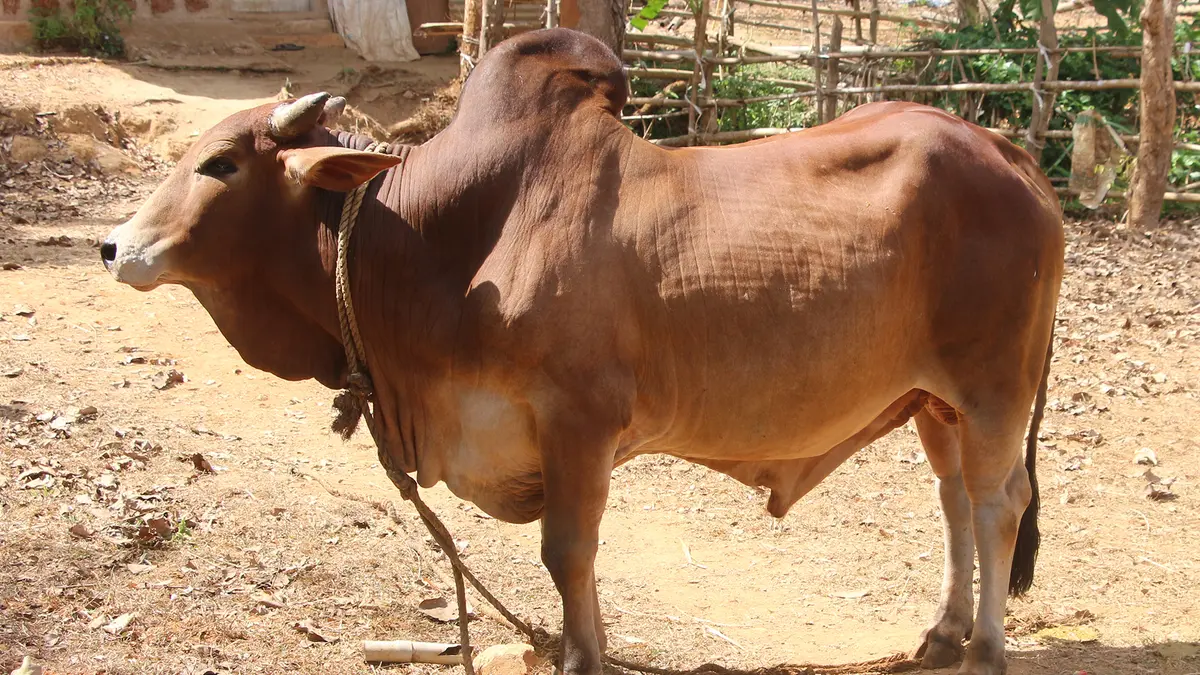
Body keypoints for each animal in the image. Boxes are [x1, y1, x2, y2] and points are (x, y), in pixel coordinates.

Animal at [100, 28, 1063, 675]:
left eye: (220, 164)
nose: (114, 246)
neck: (441, 239)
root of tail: (1007, 153)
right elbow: (575, 557)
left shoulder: (578, 421)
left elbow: (567, 550)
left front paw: (580, 655)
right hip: (934, 401)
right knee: (954, 500)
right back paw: (941, 633)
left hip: (992, 387)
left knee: (998, 502)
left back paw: (984, 646)